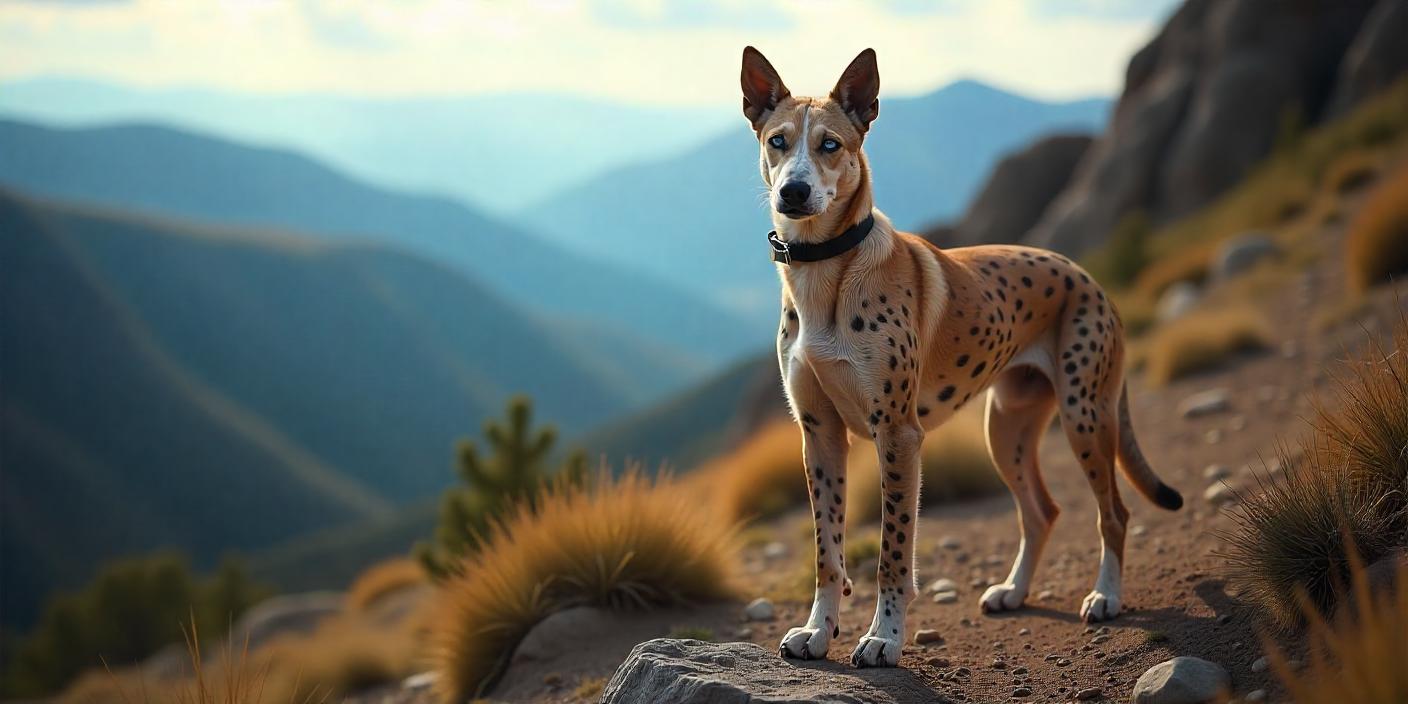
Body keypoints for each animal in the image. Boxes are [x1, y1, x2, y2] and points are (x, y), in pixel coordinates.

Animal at [743, 48, 1182, 664]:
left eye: (830, 144)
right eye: (778, 141)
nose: (794, 193)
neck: (825, 271)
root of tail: (1087, 277)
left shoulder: (898, 435)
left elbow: (892, 552)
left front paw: (884, 637)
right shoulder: (820, 436)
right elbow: (827, 553)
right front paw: (818, 631)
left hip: (1085, 416)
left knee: (1113, 513)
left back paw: (1106, 597)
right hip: (1007, 430)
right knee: (1041, 512)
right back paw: (1014, 591)